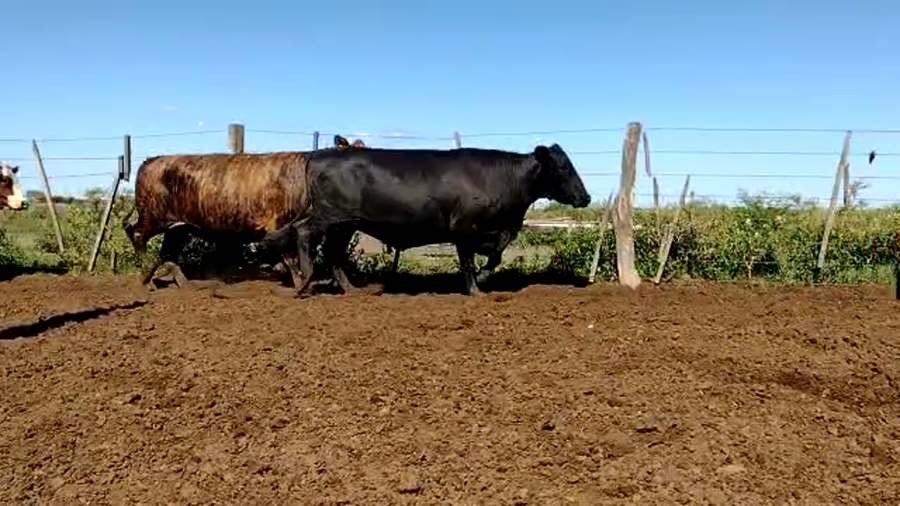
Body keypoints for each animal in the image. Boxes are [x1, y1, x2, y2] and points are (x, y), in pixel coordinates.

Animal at [123, 135, 366, 289]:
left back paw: (185, 283)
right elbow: (290, 259)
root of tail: (151, 160)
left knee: (168, 252)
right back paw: (146, 277)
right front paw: (299, 284)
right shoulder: (280, 223)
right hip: (154, 217)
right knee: (136, 233)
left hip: (179, 227)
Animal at [244, 143, 591, 297]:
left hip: (345, 224)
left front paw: (485, 279)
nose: (586, 197)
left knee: (333, 253)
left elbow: (496, 254)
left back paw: (351, 289)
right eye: (563, 167)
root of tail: (318, 155)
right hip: (330, 216)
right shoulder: (463, 228)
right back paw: (305, 281)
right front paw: (475, 289)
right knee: (305, 234)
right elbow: (469, 261)